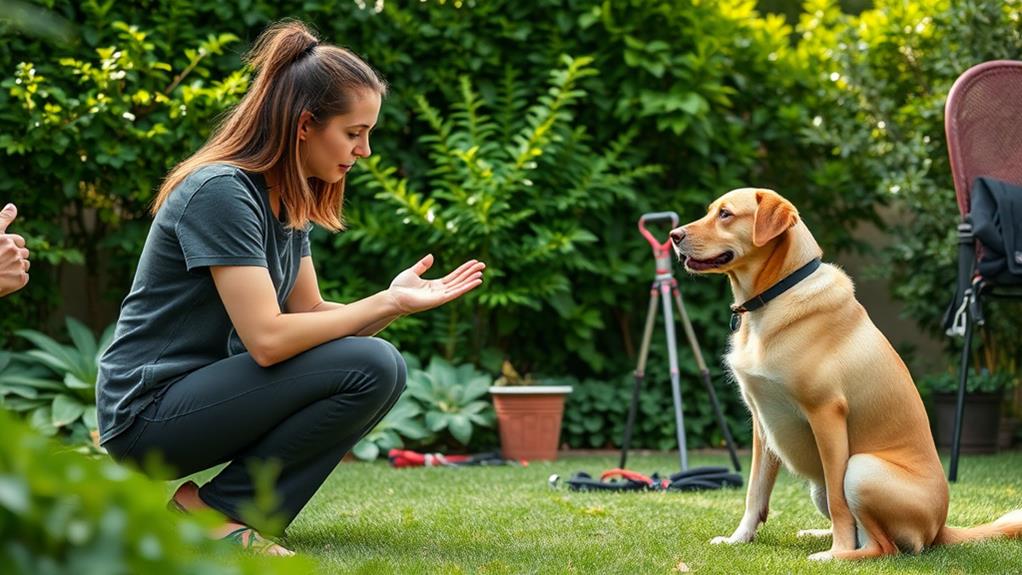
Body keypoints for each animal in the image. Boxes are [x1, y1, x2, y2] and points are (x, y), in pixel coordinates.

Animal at [670, 188, 1021, 563]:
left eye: (725, 214)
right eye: (711, 211)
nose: (673, 236)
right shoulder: (761, 423)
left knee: (882, 546)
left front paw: (836, 550)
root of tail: (940, 527)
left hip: (861, 468)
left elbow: (840, 505)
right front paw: (738, 538)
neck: (776, 295)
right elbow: (755, 493)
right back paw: (816, 534)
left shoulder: (827, 414)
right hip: (819, 486)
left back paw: (835, 554)